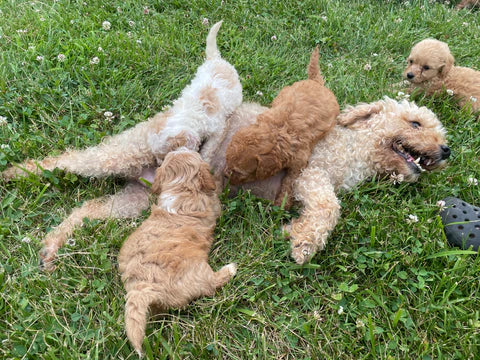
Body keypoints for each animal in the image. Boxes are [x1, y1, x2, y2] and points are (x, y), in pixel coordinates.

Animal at [1, 19, 244, 268]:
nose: (161, 169)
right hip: (112, 158)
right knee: (62, 160)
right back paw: (10, 174)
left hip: (134, 200)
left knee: (88, 208)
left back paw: (51, 246)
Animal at [224, 47, 338, 208]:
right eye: (226, 160)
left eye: (239, 172)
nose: (224, 174)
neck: (276, 131)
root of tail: (315, 82)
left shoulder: (299, 162)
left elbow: (290, 182)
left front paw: (282, 203)